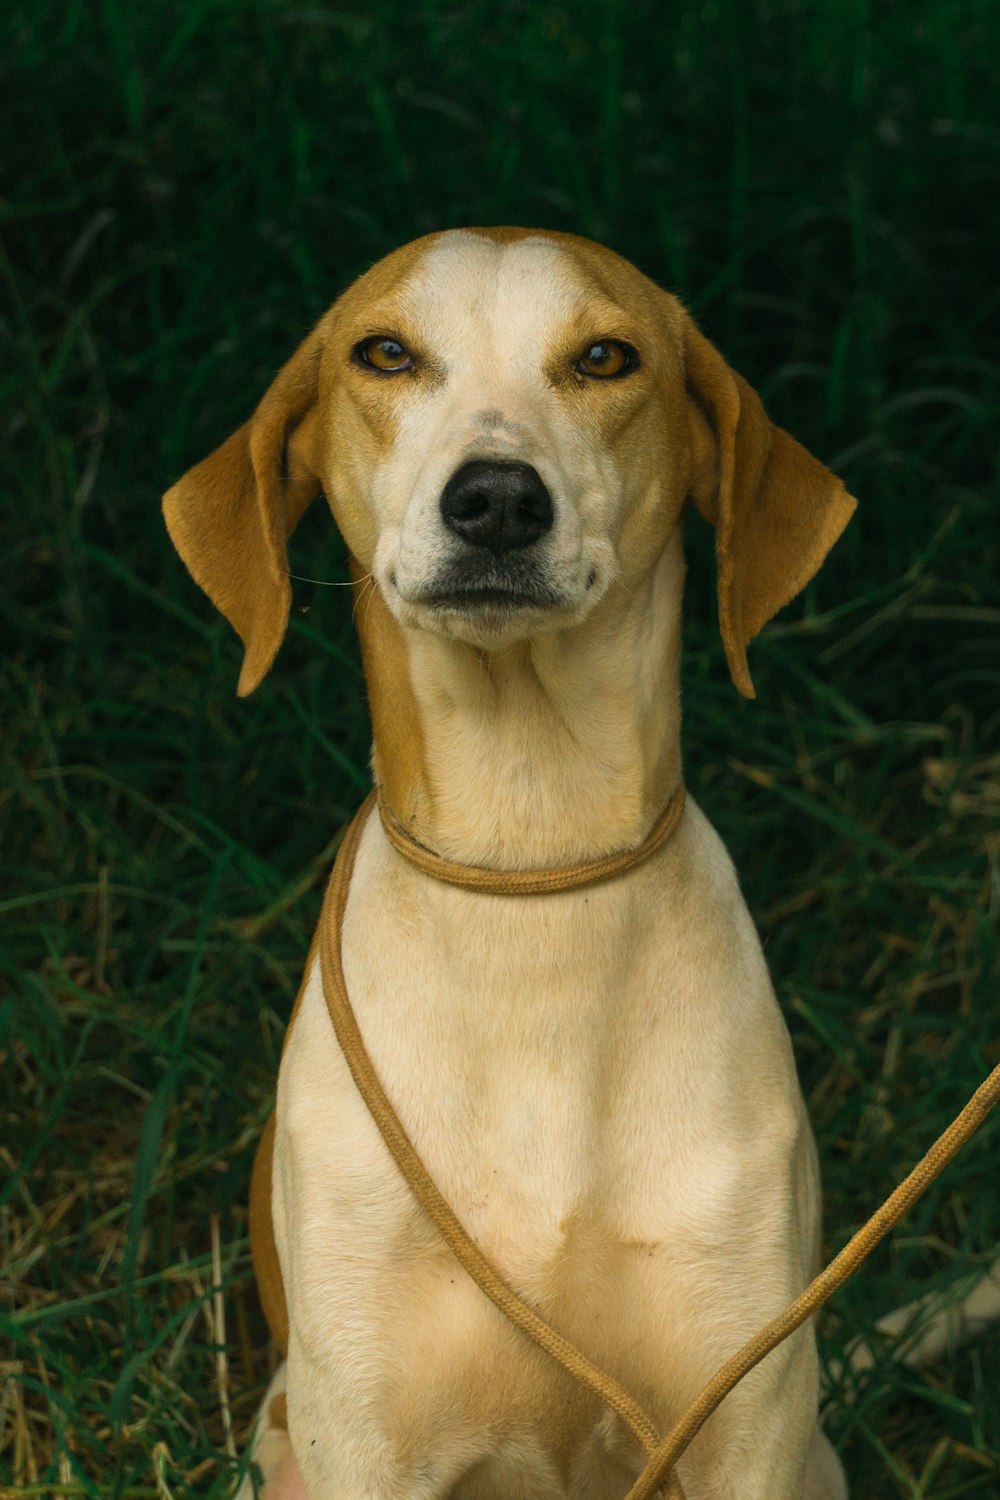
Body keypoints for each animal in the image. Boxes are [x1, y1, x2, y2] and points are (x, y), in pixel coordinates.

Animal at [164, 228, 863, 1500]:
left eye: (604, 357)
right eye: (384, 353)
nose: (495, 498)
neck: (528, 865)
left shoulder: (743, 1420)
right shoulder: (364, 1434)